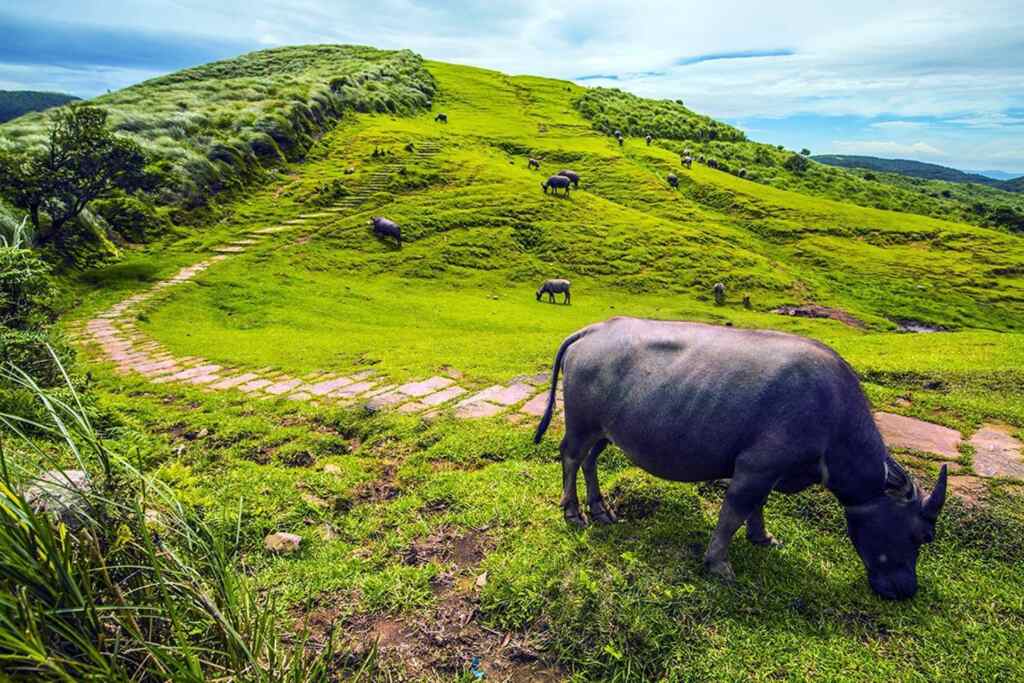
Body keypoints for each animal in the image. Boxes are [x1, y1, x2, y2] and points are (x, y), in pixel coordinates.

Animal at [536, 317, 942, 602]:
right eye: (922, 535)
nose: (906, 589)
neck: (833, 419)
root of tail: (592, 330)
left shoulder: (769, 470)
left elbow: (758, 507)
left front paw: (762, 537)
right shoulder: (755, 468)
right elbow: (733, 513)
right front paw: (719, 563)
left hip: (605, 431)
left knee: (590, 461)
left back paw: (600, 510)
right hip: (581, 423)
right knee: (571, 456)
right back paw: (573, 512)